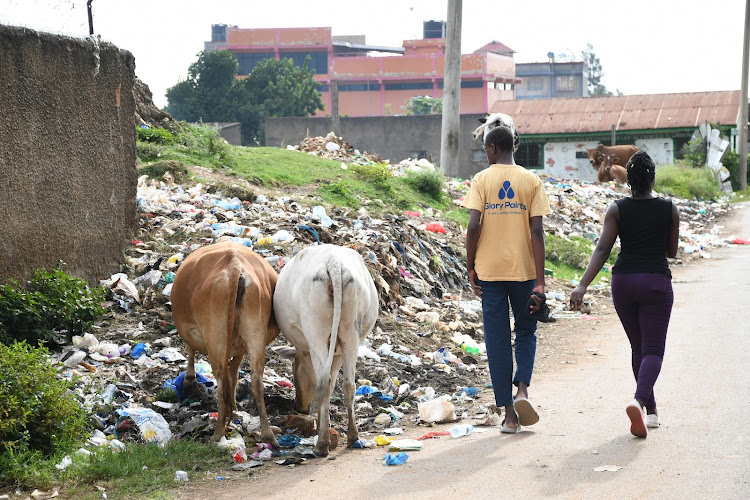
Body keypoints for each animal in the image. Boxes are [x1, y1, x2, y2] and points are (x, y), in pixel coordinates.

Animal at [172, 238, 280, 446]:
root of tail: (234, 264)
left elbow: (191, 350)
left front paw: (189, 382)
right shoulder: (240, 346)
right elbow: (235, 372)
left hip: (215, 335)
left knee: (221, 380)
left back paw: (217, 434)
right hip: (255, 332)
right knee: (256, 380)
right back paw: (268, 434)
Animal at [274, 243, 378, 458]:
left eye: (294, 369)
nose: (299, 407)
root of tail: (333, 262)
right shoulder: (337, 351)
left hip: (315, 329)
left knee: (323, 380)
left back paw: (321, 444)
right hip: (351, 331)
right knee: (348, 384)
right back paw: (352, 437)